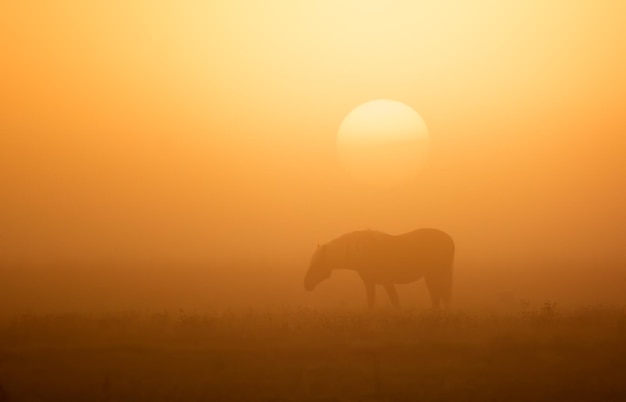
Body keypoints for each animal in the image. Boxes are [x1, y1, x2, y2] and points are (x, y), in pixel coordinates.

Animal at [302, 228, 454, 310]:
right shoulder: (375, 282)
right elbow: (376, 301)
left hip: (437, 274)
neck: (363, 253)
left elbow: (391, 300)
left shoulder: (383, 282)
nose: (306, 284)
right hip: (432, 275)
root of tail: (450, 240)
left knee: (441, 295)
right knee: (437, 295)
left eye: (317, 265)